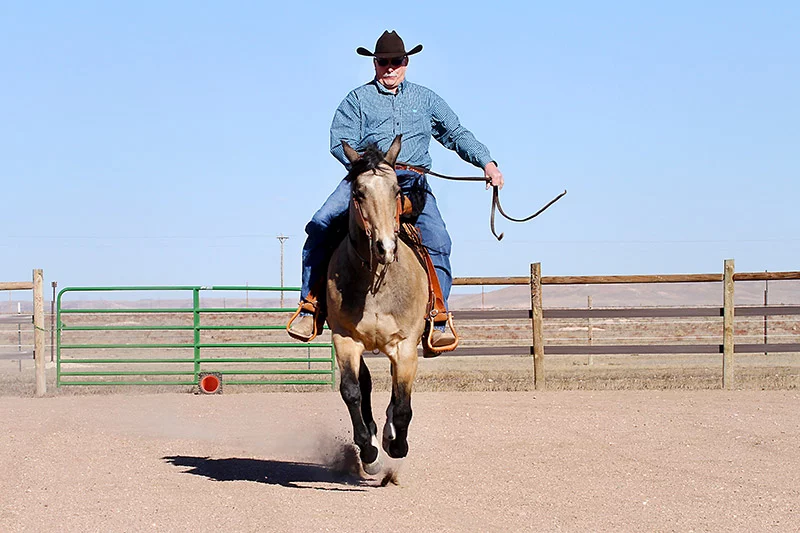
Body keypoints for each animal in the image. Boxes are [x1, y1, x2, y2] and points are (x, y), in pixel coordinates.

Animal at [326, 135, 429, 475]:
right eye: (358, 192)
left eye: (396, 190)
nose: (385, 247)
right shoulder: (345, 339)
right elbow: (352, 391)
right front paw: (368, 449)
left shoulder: (405, 345)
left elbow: (402, 403)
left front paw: (395, 444)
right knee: (366, 384)